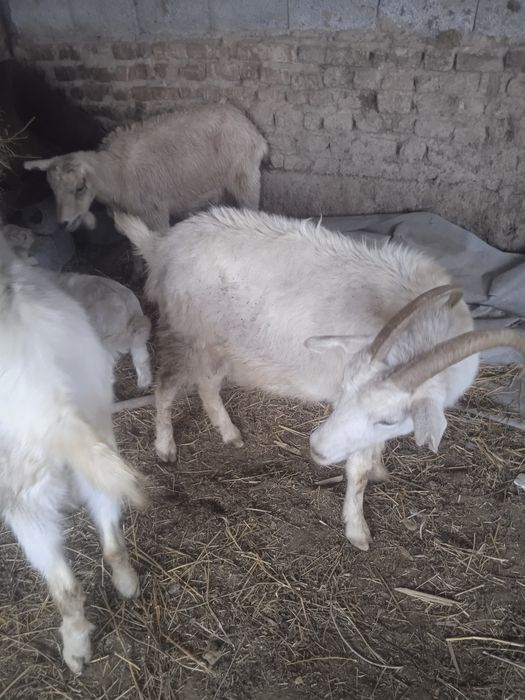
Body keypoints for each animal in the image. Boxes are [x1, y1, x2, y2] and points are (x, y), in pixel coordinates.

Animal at [0, 234, 145, 673]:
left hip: (24, 500)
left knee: (64, 586)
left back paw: (75, 648)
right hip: (100, 447)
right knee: (111, 536)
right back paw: (127, 585)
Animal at [23, 105, 268, 234]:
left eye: (80, 187)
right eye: (52, 190)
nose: (64, 223)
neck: (115, 174)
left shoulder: (155, 213)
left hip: (246, 179)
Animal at [114, 207, 525, 551]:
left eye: (390, 419)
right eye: (345, 389)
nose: (316, 449)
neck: (423, 331)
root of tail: (162, 244)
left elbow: (372, 450)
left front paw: (379, 468)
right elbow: (357, 470)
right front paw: (357, 527)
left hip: (221, 345)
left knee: (208, 385)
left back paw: (229, 433)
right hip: (186, 333)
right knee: (167, 387)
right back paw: (165, 446)